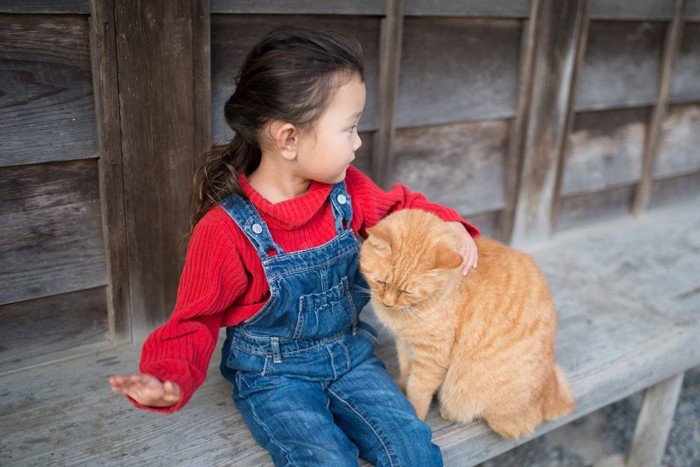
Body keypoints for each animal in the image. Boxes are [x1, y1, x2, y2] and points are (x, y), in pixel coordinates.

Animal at [360, 209, 576, 438]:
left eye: (406, 291)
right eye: (381, 282)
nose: (388, 302)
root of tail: (551, 390)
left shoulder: (431, 357)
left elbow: (417, 391)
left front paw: (414, 413)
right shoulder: (404, 342)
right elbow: (404, 368)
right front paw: (401, 385)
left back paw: (449, 412)